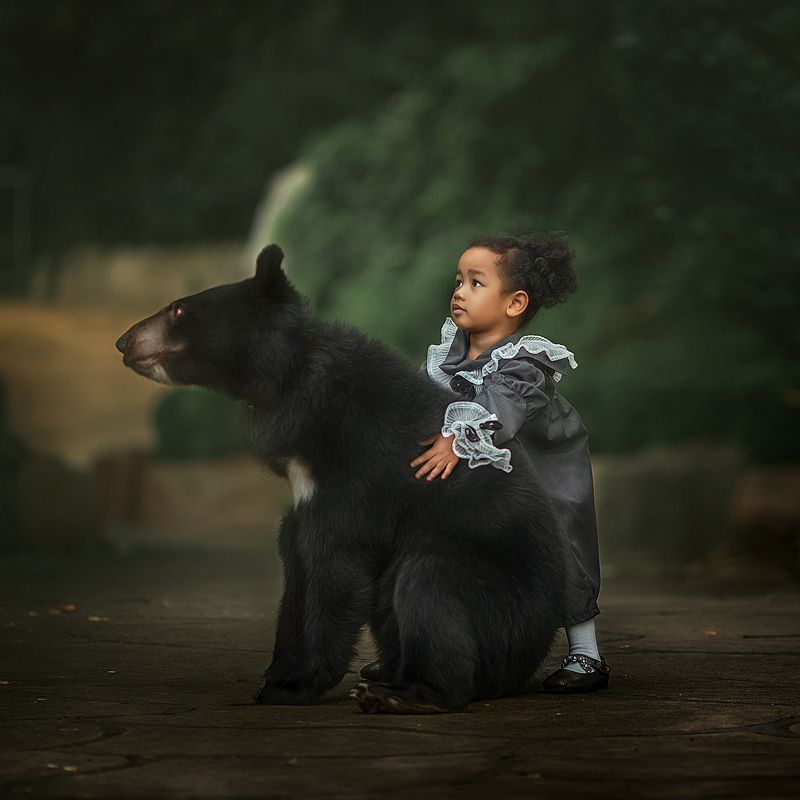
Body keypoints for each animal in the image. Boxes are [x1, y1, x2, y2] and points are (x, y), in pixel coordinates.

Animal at [115, 244, 565, 713]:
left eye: (179, 309)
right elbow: (296, 560)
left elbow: (335, 563)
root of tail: (531, 656)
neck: (289, 379)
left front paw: (297, 685)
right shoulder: (304, 493)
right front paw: (276, 676)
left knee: (426, 586)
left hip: (493, 594)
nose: (123, 342)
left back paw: (404, 694)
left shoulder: (359, 473)